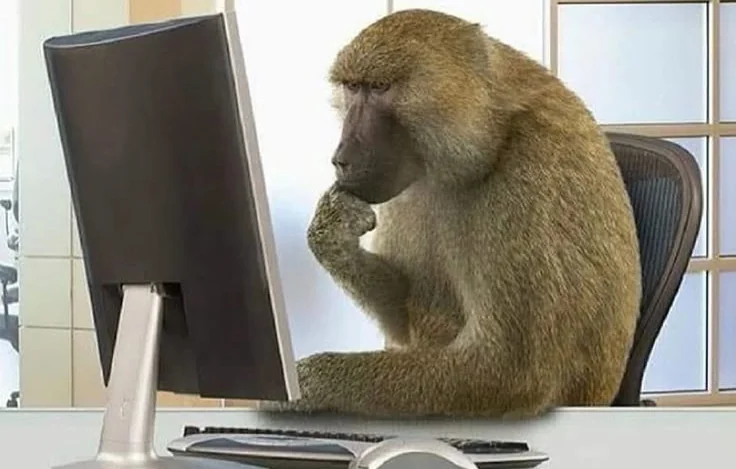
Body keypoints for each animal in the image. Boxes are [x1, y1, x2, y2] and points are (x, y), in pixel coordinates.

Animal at [269, 8, 641, 419]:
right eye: (352, 88)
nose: (341, 160)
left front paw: (305, 384)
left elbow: (509, 372)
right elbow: (402, 316)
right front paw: (333, 233)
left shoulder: (531, 170)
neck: (492, 132)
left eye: (380, 87)